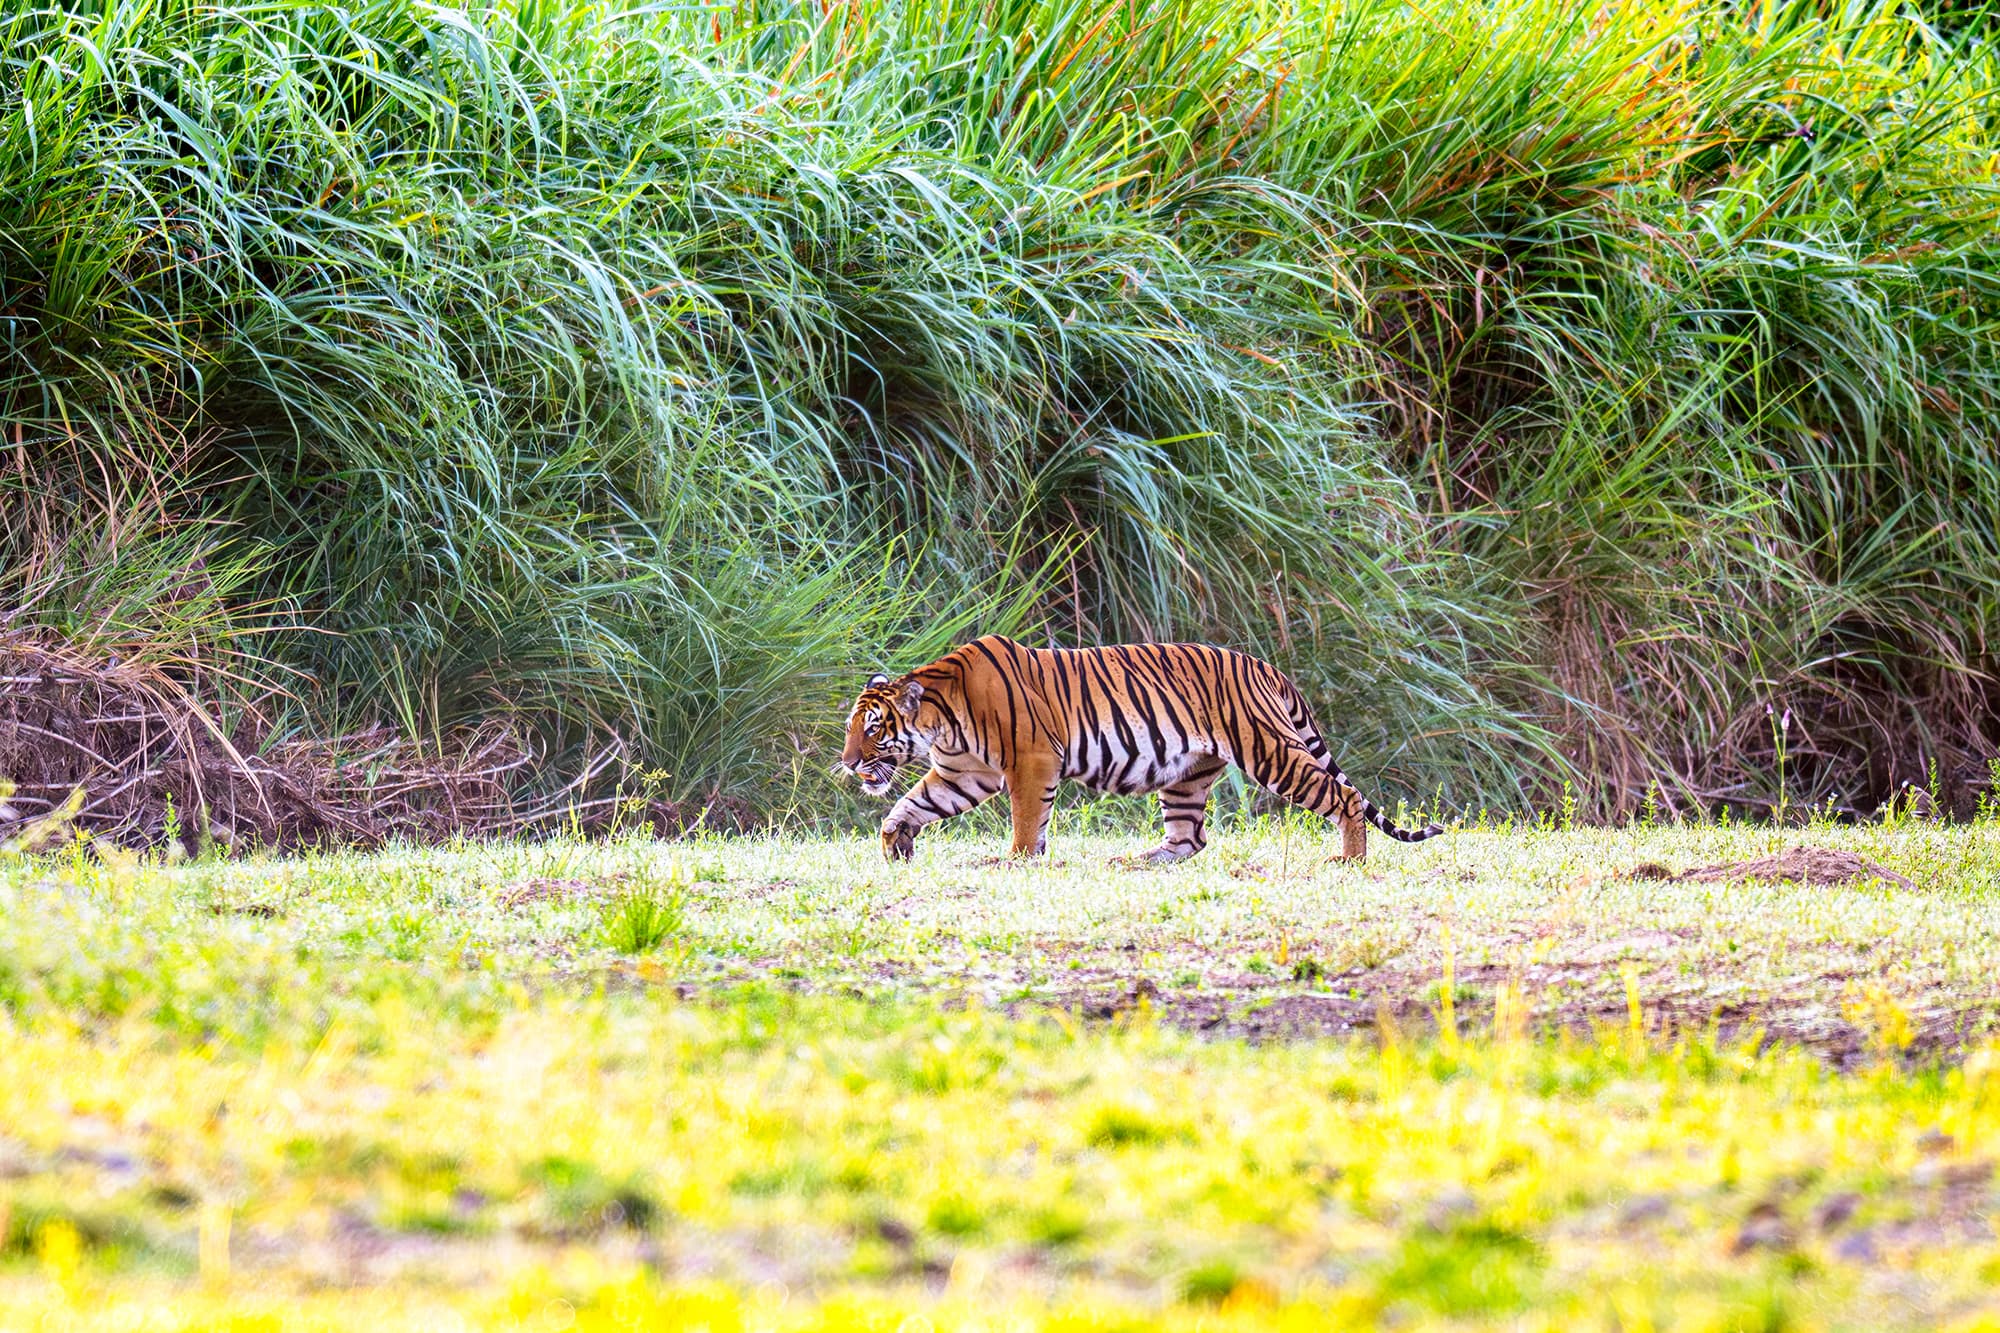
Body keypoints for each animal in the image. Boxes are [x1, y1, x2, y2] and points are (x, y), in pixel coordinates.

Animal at [838, 634, 1445, 863]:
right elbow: (912, 803)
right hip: (1187, 775)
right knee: (1190, 838)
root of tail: (1265, 666)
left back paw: (1350, 859)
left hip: (1270, 750)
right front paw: (895, 844)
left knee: (1343, 798)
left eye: (872, 728)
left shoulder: (1030, 759)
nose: (846, 764)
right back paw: (1138, 860)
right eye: (852, 728)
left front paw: (1015, 860)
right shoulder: (965, 773)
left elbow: (1027, 819)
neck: (941, 719)